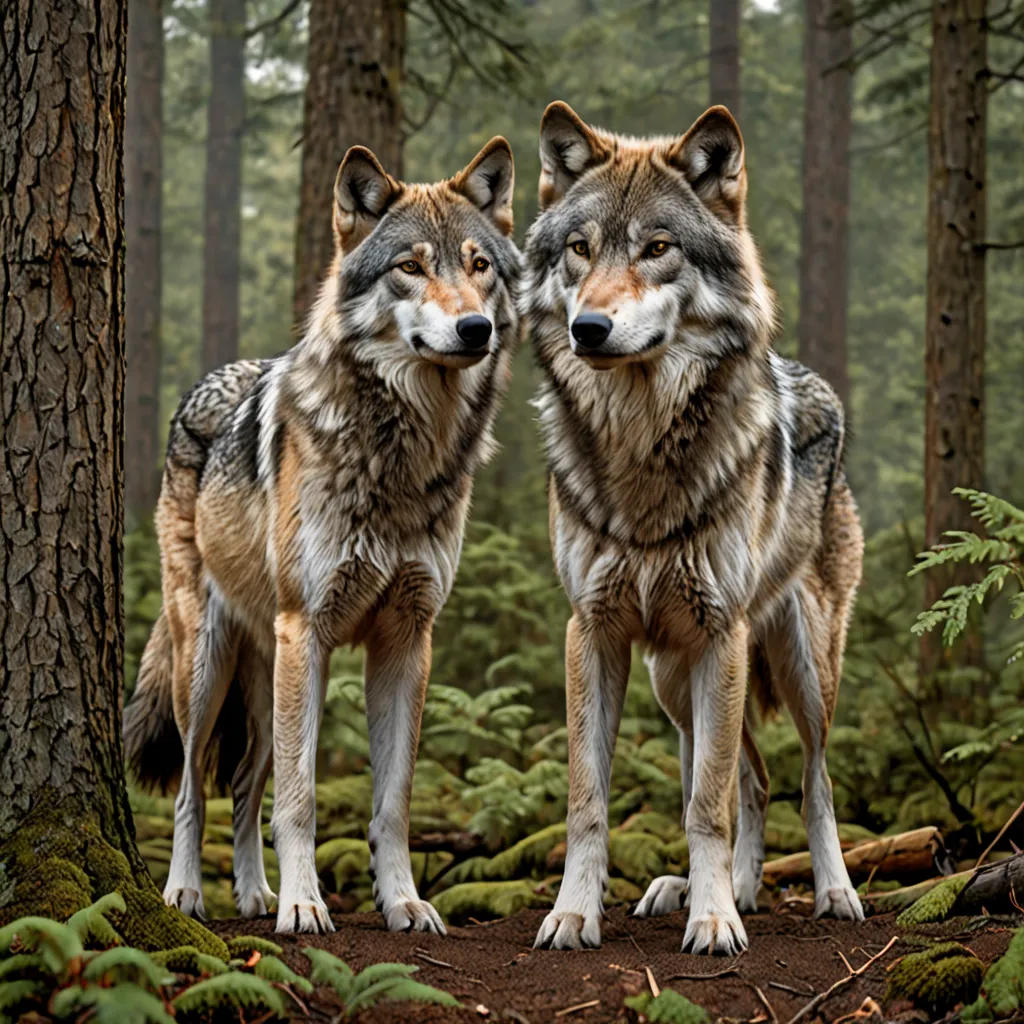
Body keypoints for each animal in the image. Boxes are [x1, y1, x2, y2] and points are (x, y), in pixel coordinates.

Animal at [124, 138, 520, 934]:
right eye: (411, 266)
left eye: (478, 265)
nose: (476, 330)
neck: (403, 456)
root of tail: (203, 387)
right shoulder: (308, 628)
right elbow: (301, 800)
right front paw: (306, 905)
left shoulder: (407, 638)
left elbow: (391, 803)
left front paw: (403, 902)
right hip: (208, 666)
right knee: (192, 788)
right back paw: (186, 895)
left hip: (265, 678)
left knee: (245, 784)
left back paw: (253, 895)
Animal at [523, 101, 863, 955]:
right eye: (581, 249)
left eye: (657, 248)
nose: (589, 327)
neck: (643, 445)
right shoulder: (593, 632)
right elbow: (590, 801)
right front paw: (574, 913)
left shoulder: (721, 630)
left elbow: (705, 804)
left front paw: (713, 922)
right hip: (675, 681)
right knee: (754, 778)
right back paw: (718, 889)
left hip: (797, 661)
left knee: (811, 779)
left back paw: (830, 891)